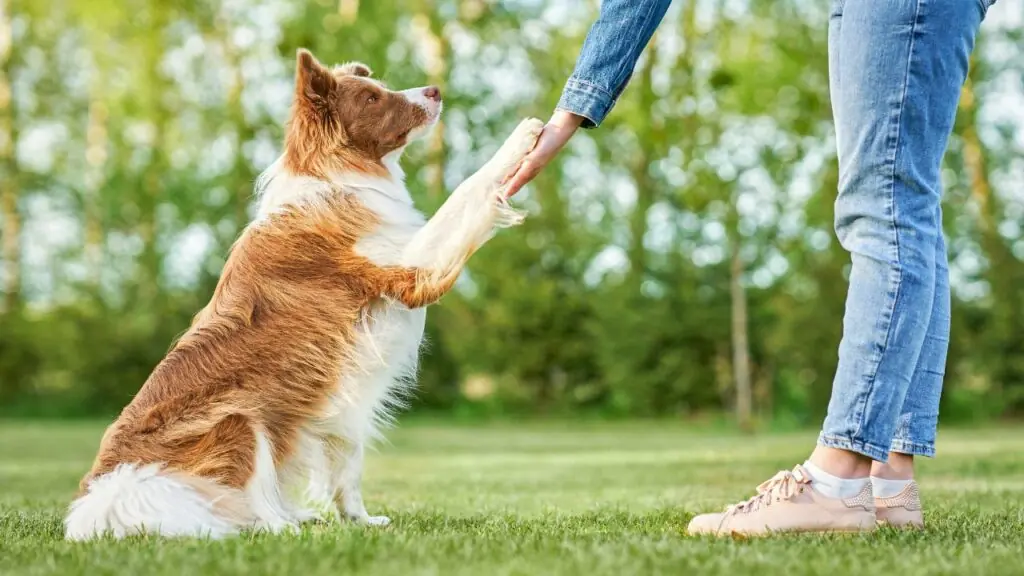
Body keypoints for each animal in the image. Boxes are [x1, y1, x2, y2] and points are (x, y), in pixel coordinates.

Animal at [64, 49, 544, 537]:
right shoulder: (412, 271)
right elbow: (466, 190)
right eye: (372, 98)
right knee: (247, 510)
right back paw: (283, 527)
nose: (435, 90)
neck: (338, 177)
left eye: (381, 88)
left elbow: (348, 465)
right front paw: (522, 137)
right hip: (238, 420)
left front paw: (360, 520)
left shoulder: (348, 397)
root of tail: (103, 494)